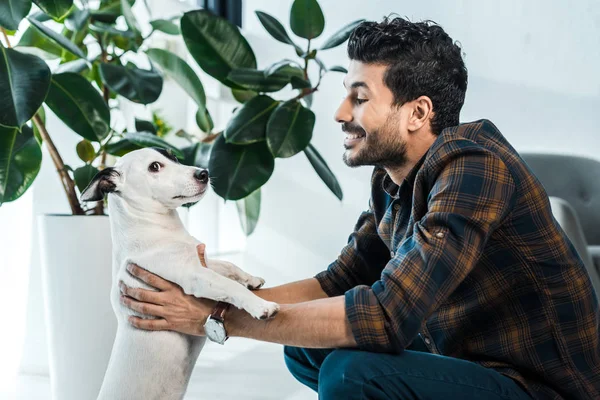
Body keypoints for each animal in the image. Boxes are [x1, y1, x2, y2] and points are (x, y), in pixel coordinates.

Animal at [79, 148, 282, 400]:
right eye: (154, 167)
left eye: (174, 157)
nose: (204, 173)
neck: (156, 228)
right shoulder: (194, 276)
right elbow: (230, 285)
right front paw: (261, 306)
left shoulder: (203, 262)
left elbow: (227, 265)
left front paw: (251, 279)